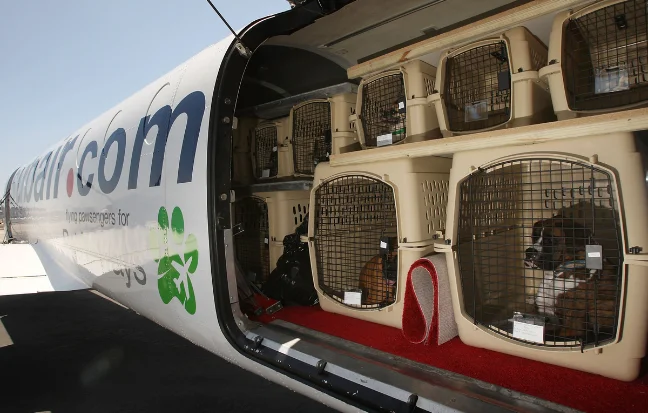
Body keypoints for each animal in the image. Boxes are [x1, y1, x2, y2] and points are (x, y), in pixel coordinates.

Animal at [456, 159, 624, 346]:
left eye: (550, 241)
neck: (557, 275)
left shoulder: (568, 325)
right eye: (535, 236)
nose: (529, 251)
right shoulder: (544, 313)